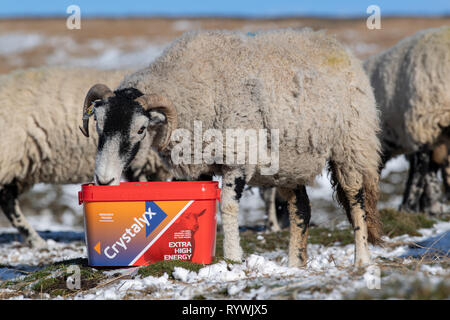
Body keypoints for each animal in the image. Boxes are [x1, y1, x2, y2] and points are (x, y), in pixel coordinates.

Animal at [0, 65, 171, 248]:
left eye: (141, 129)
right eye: (97, 122)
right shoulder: (138, 166)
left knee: (6, 198)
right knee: (8, 201)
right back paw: (38, 241)